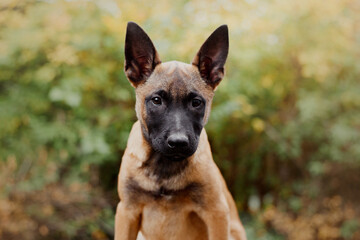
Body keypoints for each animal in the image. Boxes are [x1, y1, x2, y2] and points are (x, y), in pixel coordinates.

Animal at [115, 21, 248, 239]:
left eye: (196, 103)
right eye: (157, 100)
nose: (178, 143)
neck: (164, 167)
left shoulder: (217, 213)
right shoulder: (127, 212)